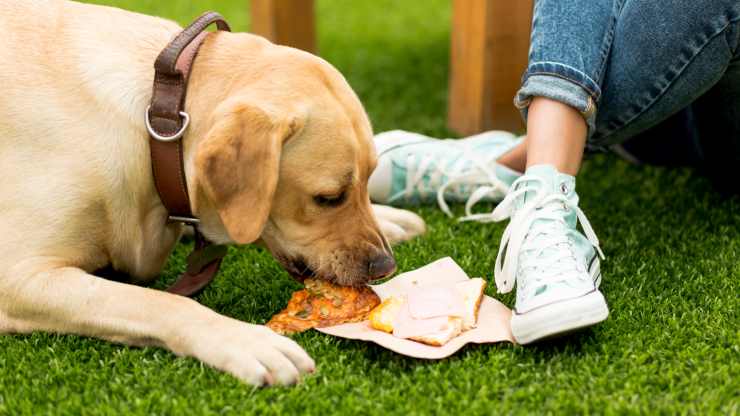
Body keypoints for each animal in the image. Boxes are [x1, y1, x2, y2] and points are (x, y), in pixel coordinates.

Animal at [0, 0, 424, 386]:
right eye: (328, 197)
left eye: (367, 182)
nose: (385, 266)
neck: (157, 123)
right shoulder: (18, 277)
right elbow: (157, 301)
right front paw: (247, 340)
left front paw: (388, 216)